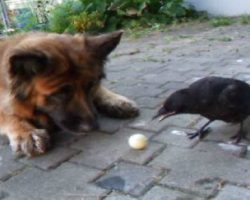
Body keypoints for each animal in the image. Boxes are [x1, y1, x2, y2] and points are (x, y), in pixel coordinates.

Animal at [0, 30, 139, 157]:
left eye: (90, 86)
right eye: (59, 94)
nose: (91, 127)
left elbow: (100, 90)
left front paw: (116, 101)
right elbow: (10, 116)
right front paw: (28, 133)